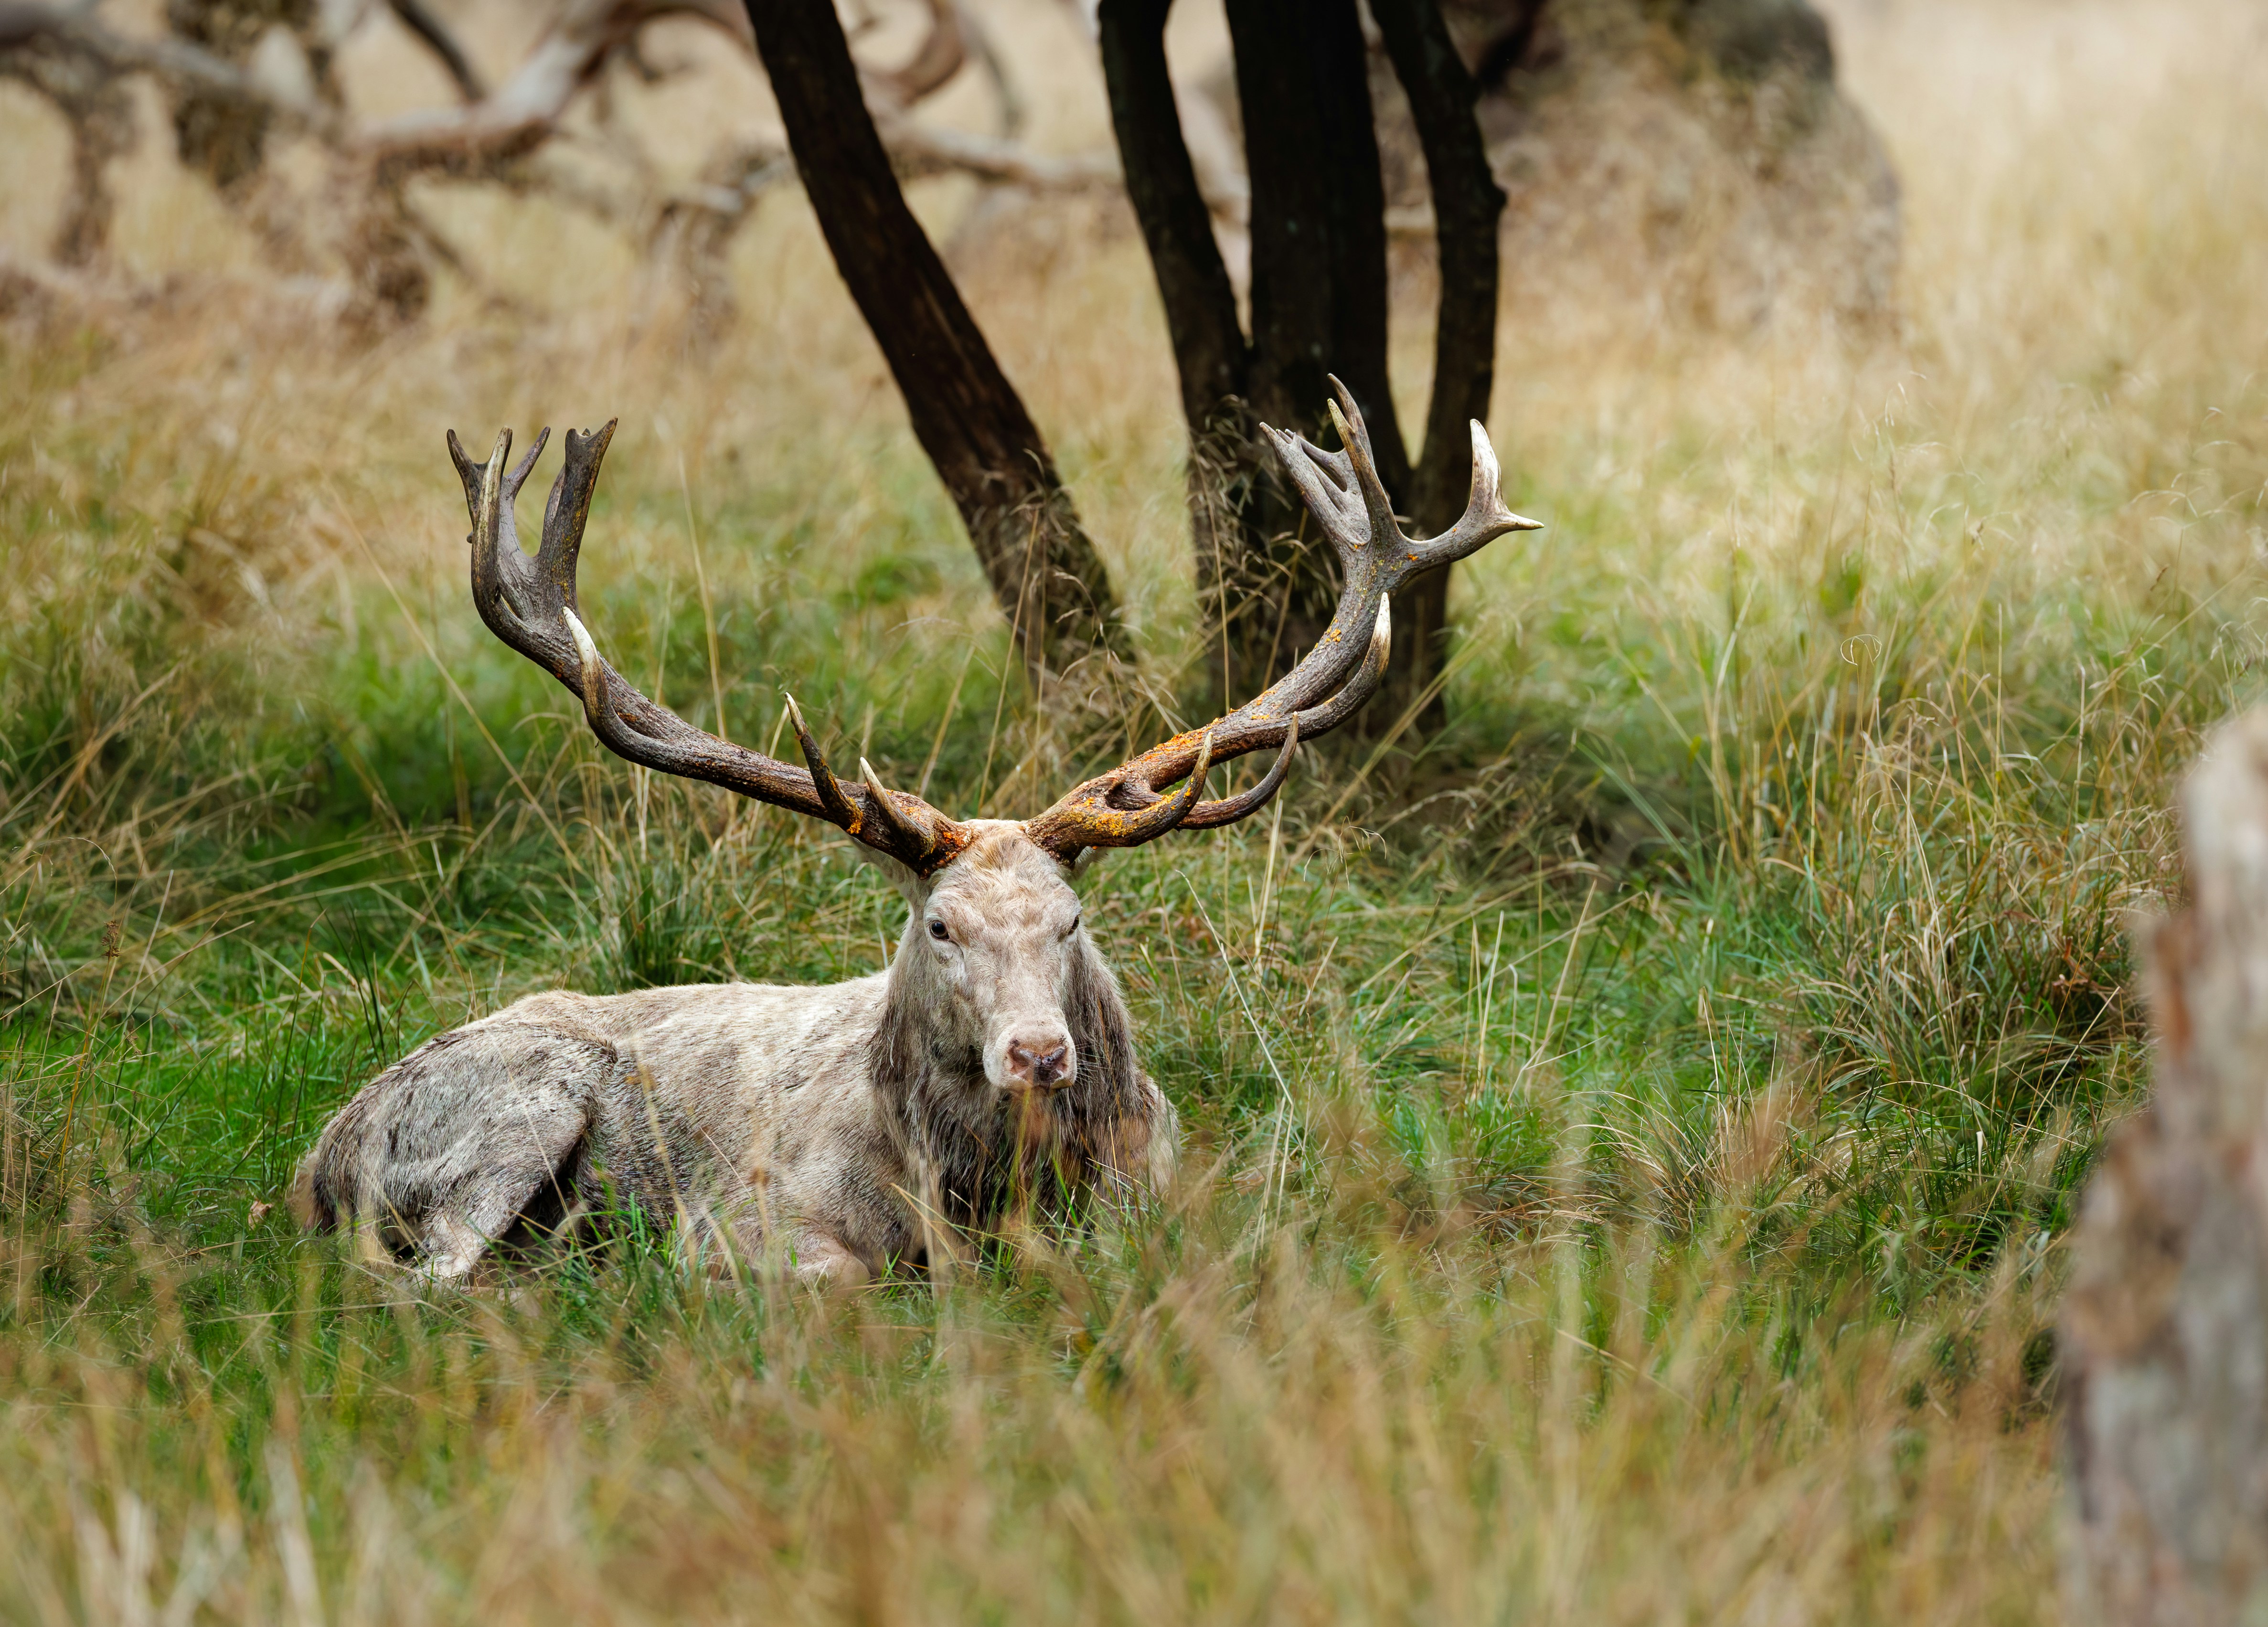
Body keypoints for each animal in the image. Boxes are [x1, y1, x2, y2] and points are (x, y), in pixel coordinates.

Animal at [292, 380, 1540, 1284]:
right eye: (937, 924)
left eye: (1072, 919)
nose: (1038, 1052)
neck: (982, 1192)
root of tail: (317, 1153)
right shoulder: (739, 1222)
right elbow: (843, 1276)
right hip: (506, 1114)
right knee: (418, 1276)